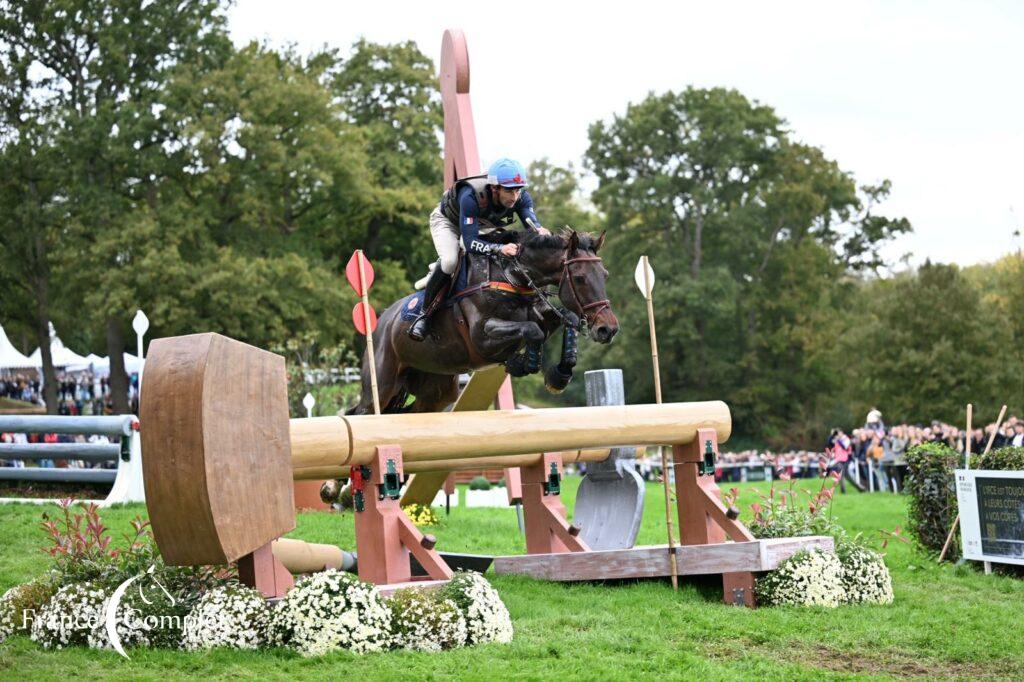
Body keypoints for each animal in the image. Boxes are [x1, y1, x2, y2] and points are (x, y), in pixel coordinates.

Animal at [352, 227, 618, 413]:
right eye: (580, 278)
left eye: (605, 275)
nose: (608, 329)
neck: (513, 276)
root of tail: (380, 323)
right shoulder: (482, 337)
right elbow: (532, 330)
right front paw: (523, 364)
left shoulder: (542, 313)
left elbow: (565, 318)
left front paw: (559, 375)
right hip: (381, 386)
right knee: (364, 412)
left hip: (436, 390)